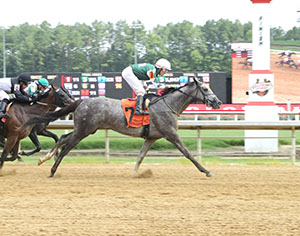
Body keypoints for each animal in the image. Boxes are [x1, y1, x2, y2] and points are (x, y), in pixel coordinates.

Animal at [26, 78, 223, 178]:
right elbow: (188, 153)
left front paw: (135, 174)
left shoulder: (151, 137)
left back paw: (44, 159)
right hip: (84, 130)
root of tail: (82, 101)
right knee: (66, 147)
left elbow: (140, 156)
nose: (218, 102)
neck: (167, 104)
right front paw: (206, 171)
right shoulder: (171, 134)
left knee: (62, 139)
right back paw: (52, 170)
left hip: (84, 129)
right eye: (205, 89)